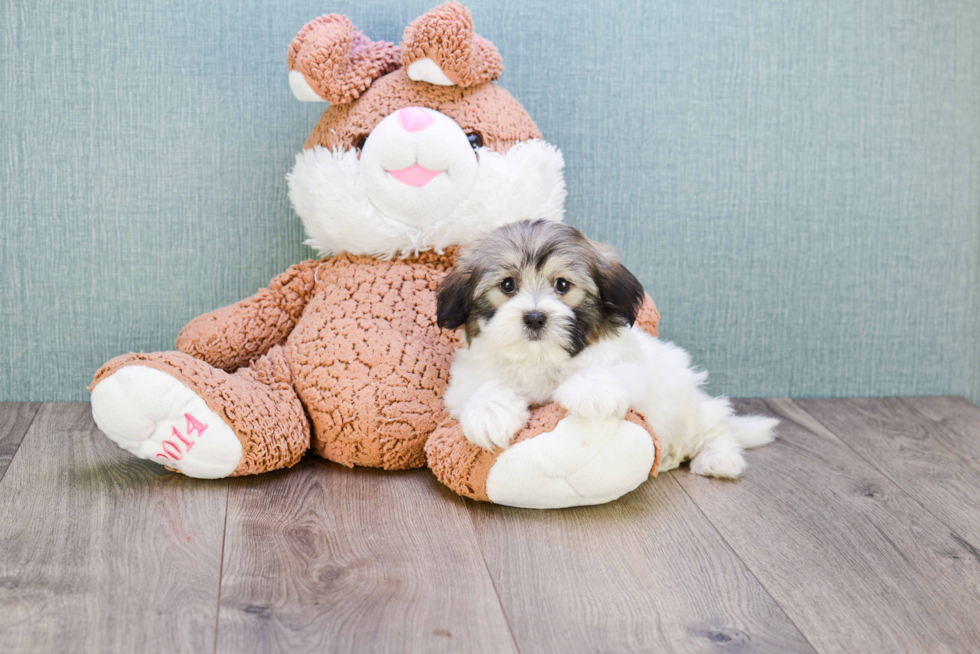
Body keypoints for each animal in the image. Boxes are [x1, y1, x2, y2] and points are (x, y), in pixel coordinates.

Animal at [440, 218, 776, 480]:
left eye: (562, 285)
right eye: (508, 285)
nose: (534, 317)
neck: (540, 359)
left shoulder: (633, 367)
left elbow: (611, 372)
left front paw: (589, 392)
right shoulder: (465, 379)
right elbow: (482, 386)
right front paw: (489, 413)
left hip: (686, 404)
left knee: (716, 427)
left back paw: (720, 458)